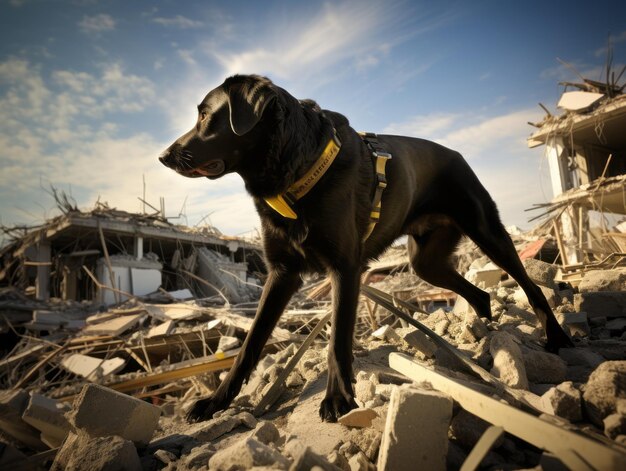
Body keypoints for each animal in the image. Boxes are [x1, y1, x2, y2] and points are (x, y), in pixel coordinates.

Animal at [158, 74, 572, 424]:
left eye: (205, 115)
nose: (162, 156)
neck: (294, 169)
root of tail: (457, 154)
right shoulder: (282, 273)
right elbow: (250, 345)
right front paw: (215, 402)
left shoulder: (344, 268)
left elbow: (338, 339)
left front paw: (338, 399)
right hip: (426, 263)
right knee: (480, 294)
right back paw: (484, 333)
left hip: (487, 231)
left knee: (529, 286)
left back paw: (555, 337)